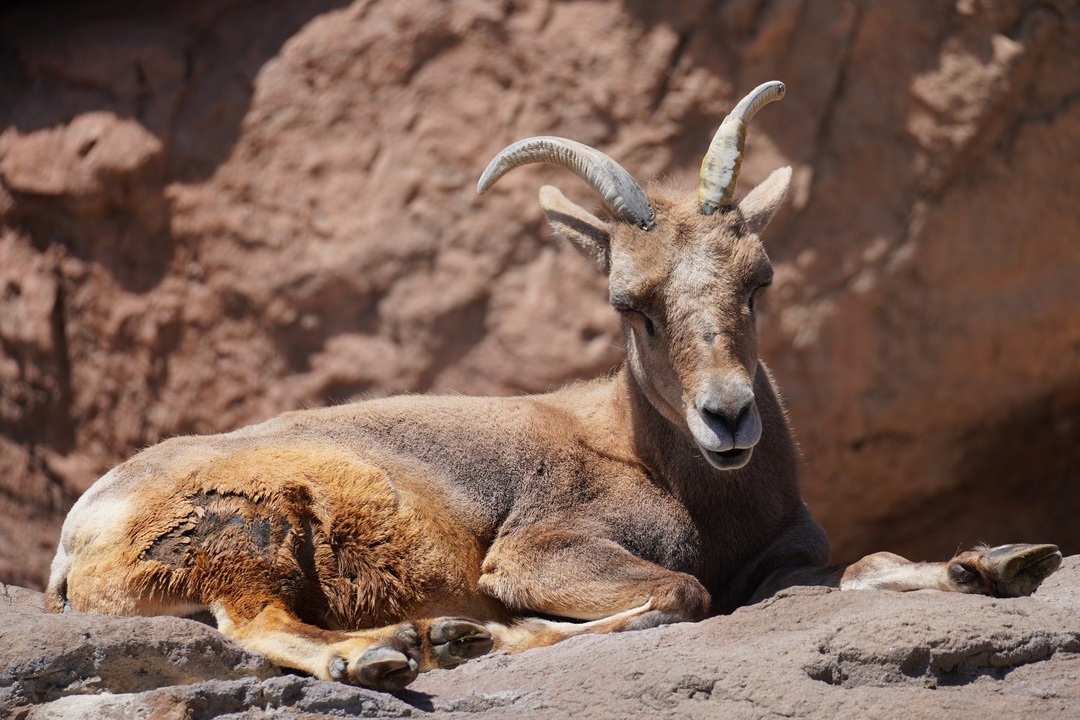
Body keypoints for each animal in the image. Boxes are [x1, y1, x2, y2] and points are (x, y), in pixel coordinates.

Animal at [45, 81, 1062, 692]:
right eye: (631, 303)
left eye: (759, 279)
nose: (729, 418)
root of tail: (76, 539)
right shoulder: (543, 550)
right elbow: (681, 593)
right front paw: (478, 634)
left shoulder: (784, 560)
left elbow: (869, 565)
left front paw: (1003, 561)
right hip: (246, 530)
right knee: (255, 622)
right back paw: (389, 653)